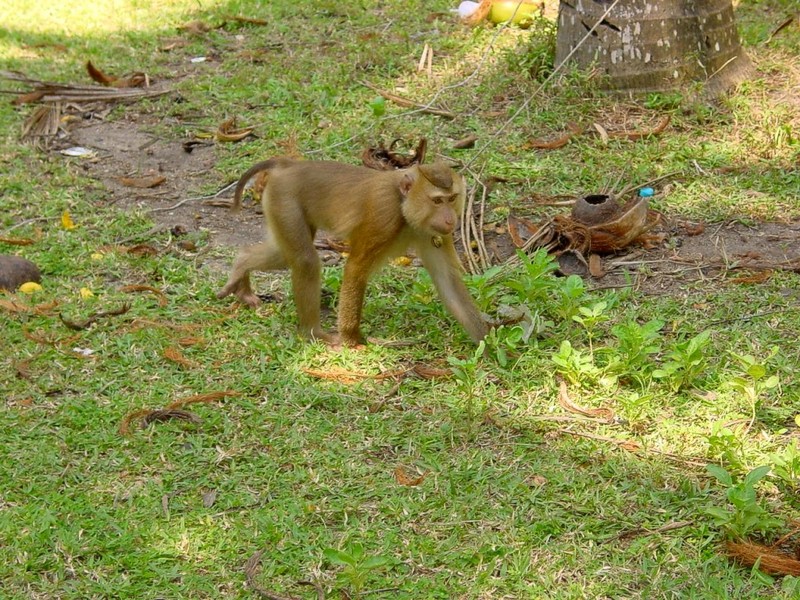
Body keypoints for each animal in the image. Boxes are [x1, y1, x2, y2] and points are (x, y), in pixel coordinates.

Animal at [217, 157, 488, 350]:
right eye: (437, 201)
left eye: (452, 198)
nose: (451, 219)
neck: (403, 207)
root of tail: (290, 165)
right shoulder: (383, 216)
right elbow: (356, 268)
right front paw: (352, 338)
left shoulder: (434, 233)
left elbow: (447, 282)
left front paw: (487, 345)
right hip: (285, 200)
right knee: (305, 260)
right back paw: (312, 332)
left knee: (284, 255)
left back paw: (242, 266)